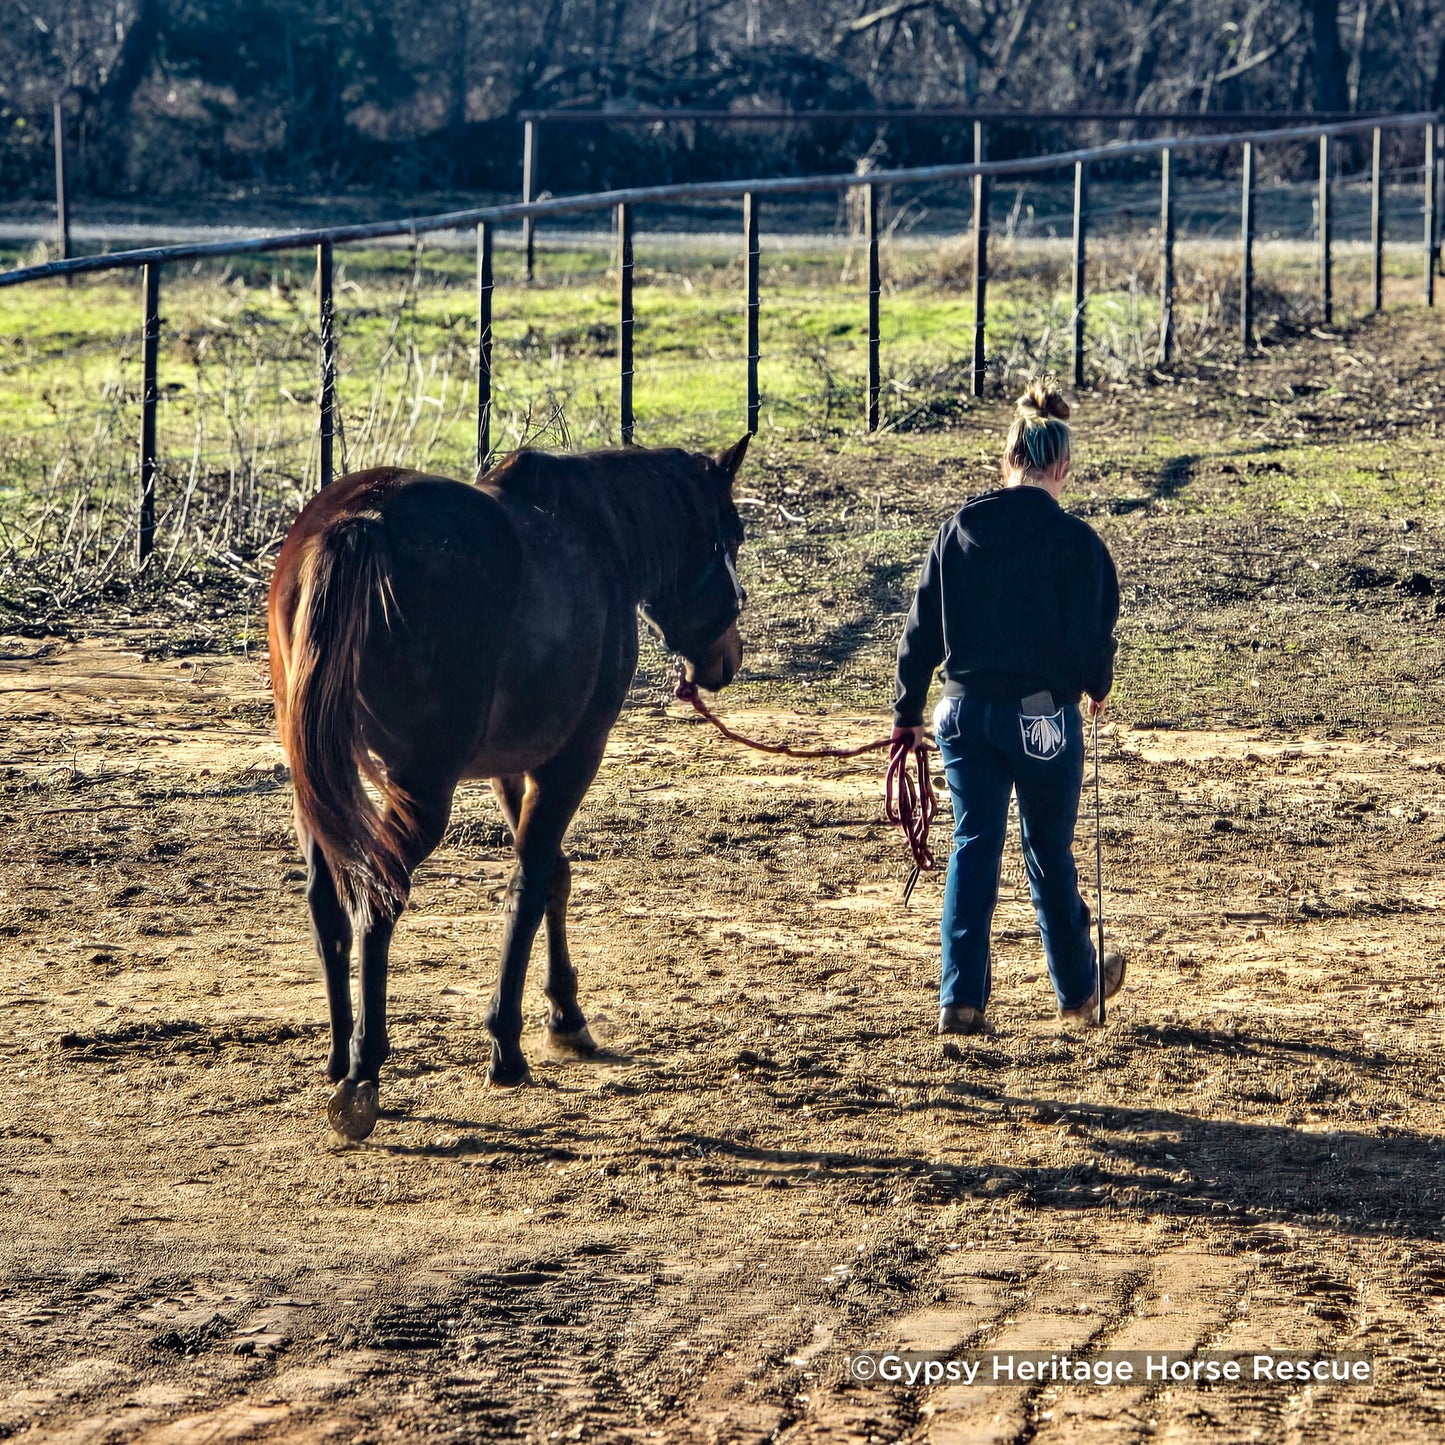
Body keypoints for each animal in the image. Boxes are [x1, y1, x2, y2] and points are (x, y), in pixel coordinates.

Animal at [267, 436, 750, 1140]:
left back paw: (337, 1053)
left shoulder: (512, 764)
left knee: (326, 898)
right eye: (730, 537)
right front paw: (509, 1043)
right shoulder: (573, 756)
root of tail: (360, 523)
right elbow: (530, 882)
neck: (600, 536)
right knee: (379, 901)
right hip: (420, 790)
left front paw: (566, 1016)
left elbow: (553, 875)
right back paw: (364, 1070)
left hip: (319, 783)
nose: (726, 659)